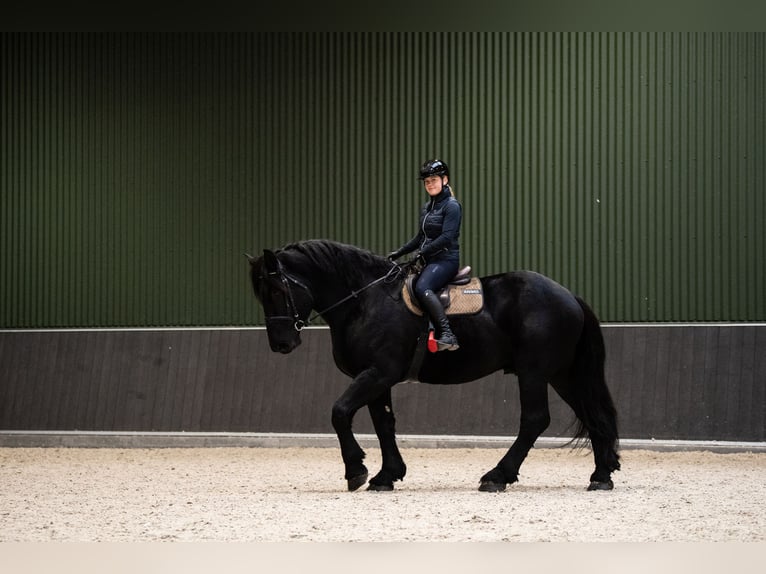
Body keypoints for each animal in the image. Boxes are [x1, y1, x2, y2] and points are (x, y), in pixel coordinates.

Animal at [249, 241, 620, 492]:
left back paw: (497, 476)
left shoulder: (377, 373)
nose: (281, 344)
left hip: (534, 373)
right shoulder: (376, 378)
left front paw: (356, 470)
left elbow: (339, 412)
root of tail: (568, 295)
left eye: (277, 290)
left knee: (534, 420)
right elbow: (384, 424)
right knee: (591, 414)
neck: (365, 301)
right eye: (261, 295)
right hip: (562, 374)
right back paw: (601, 476)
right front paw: (387, 475)